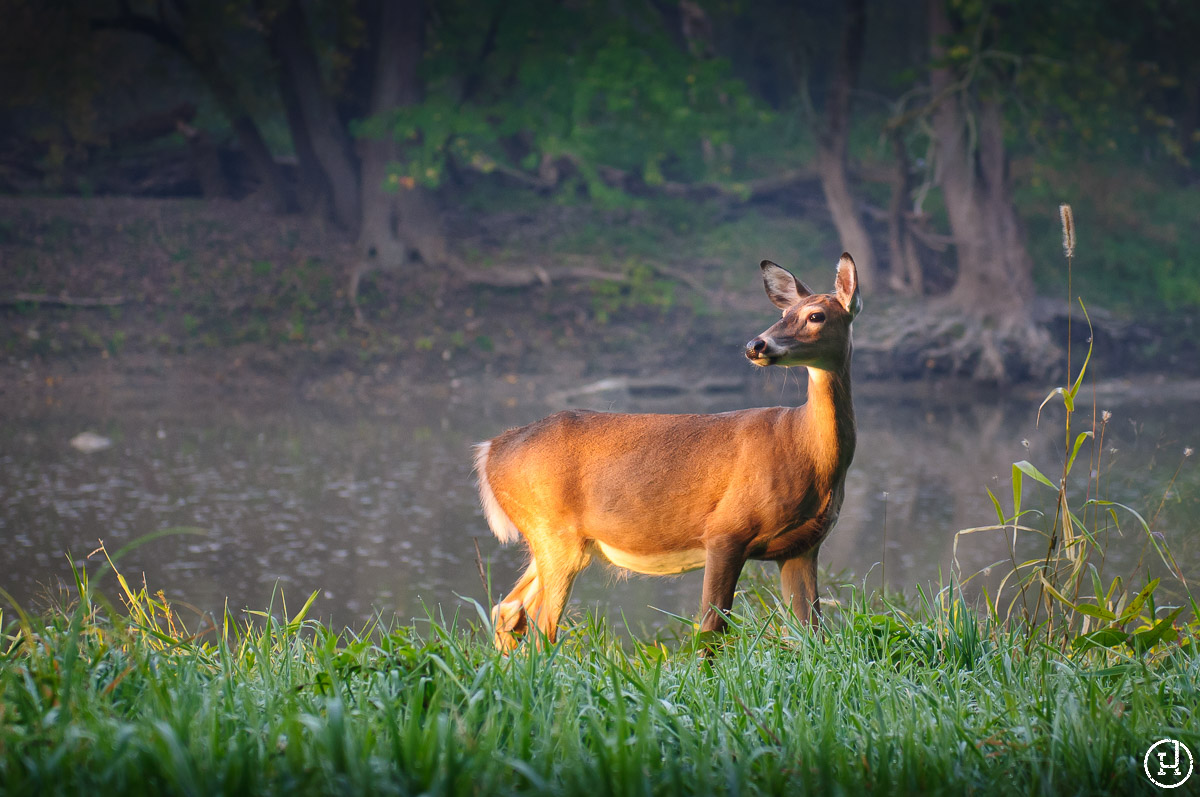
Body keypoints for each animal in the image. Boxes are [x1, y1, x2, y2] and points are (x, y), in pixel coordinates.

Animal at [472, 252, 859, 652]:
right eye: (783, 314)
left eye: (815, 315)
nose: (757, 345)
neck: (804, 447)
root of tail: (491, 449)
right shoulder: (725, 530)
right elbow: (710, 629)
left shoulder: (803, 547)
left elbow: (813, 633)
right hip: (552, 530)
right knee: (540, 626)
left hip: (555, 539)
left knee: (508, 609)